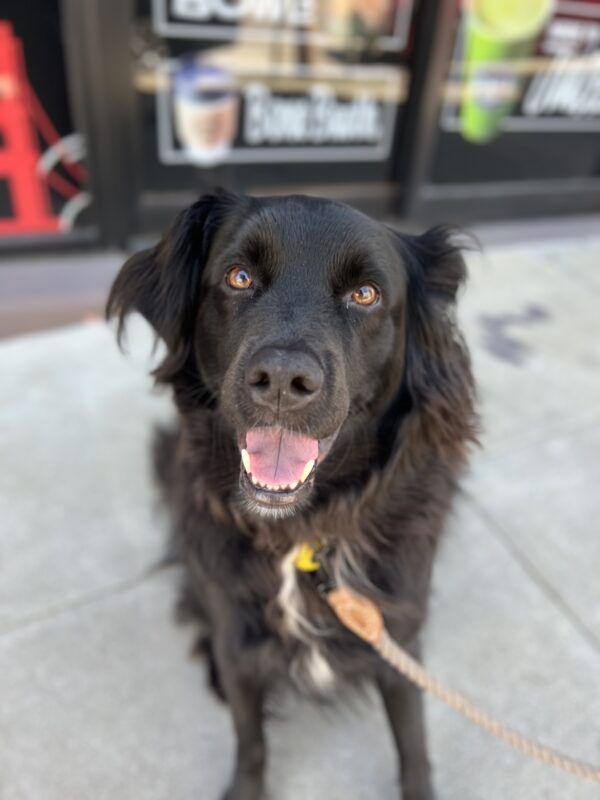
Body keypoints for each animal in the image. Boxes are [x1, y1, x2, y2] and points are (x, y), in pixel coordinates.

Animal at [105, 191, 476, 796]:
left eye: (366, 294)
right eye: (238, 276)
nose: (281, 380)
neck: (303, 534)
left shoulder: (395, 633)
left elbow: (412, 738)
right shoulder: (238, 641)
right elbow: (250, 739)